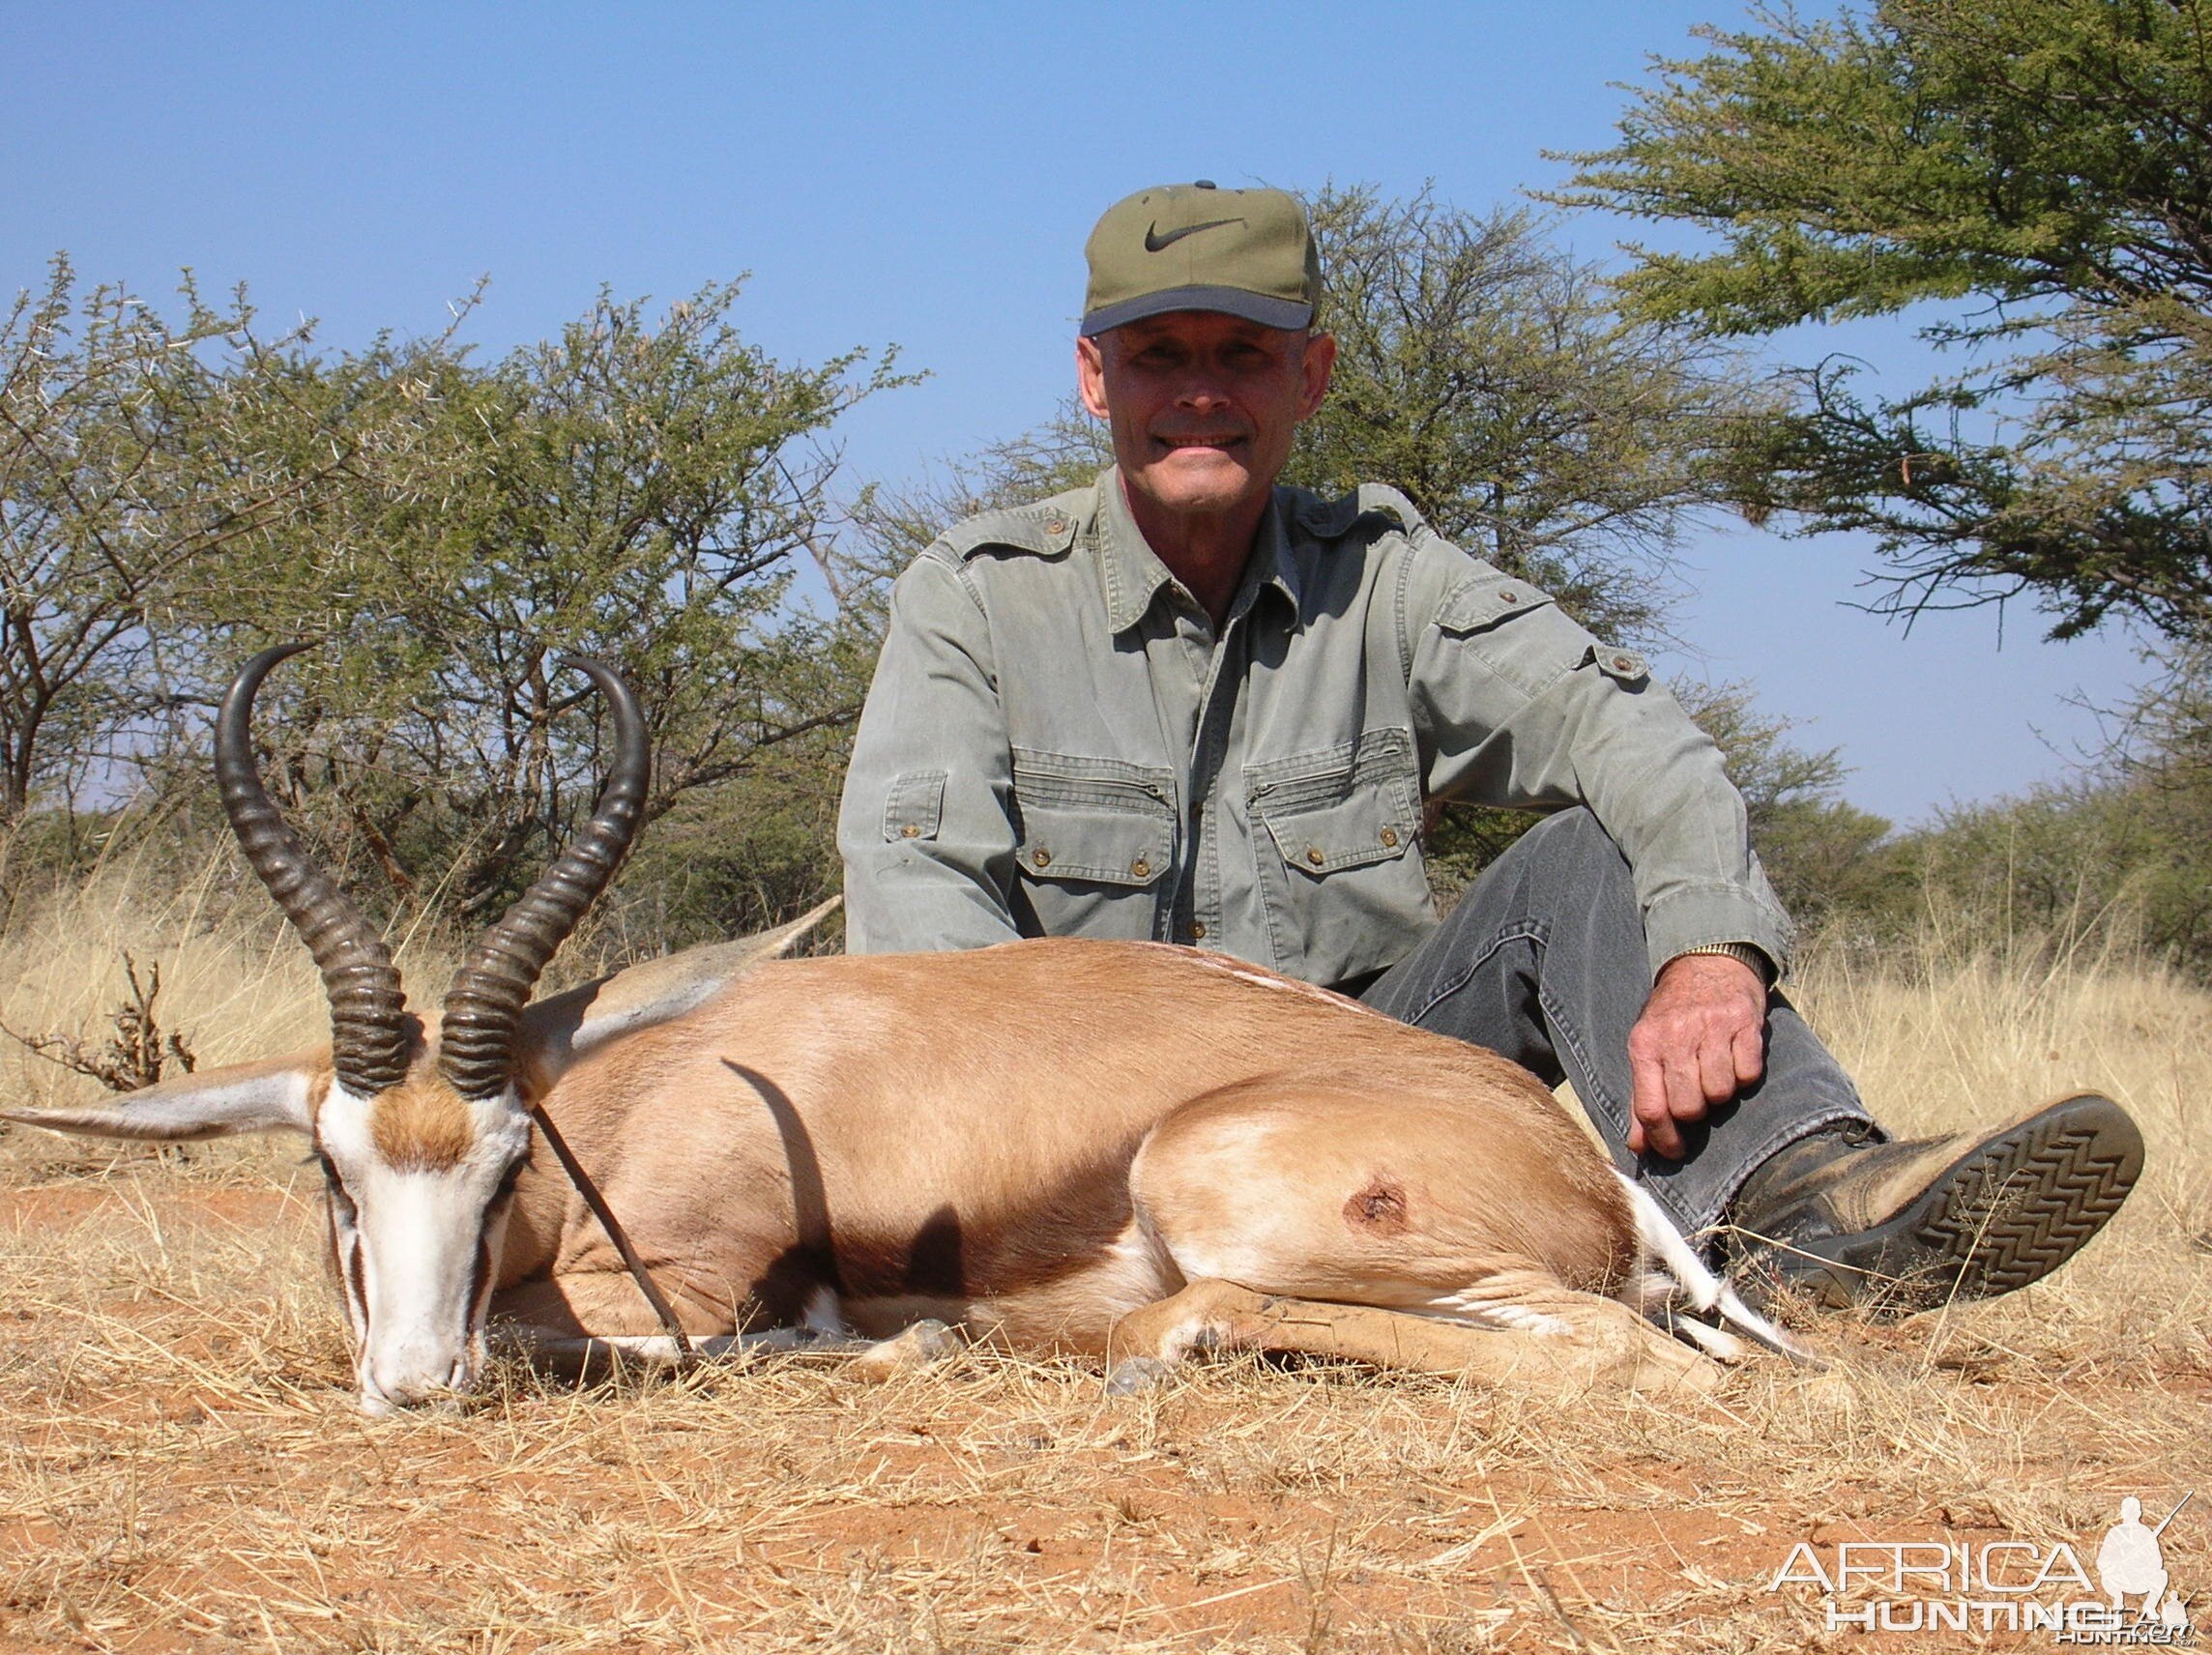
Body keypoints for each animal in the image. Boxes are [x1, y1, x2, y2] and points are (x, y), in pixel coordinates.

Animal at [4, 646, 1795, 1407]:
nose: (409, 1382)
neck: (653, 1085)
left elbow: (614, 1337)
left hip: (1225, 1196)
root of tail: (1580, 1161)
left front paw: (885, 1340)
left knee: (1603, 1350)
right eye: (331, 1168)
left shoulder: (677, 1284)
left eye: (514, 1156)